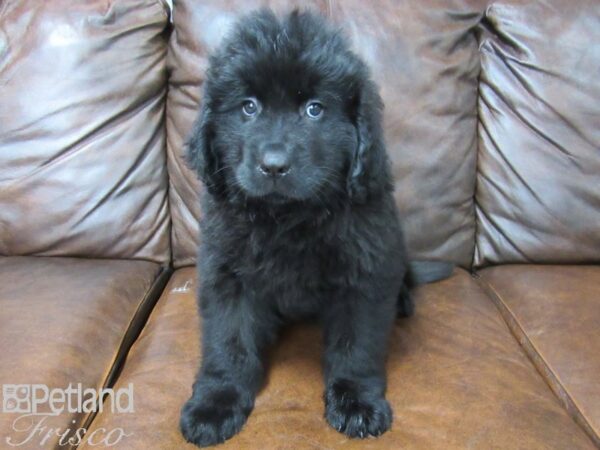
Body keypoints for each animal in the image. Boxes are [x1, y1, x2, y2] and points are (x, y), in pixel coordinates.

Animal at [180, 7, 452, 446]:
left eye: (314, 109)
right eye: (248, 107)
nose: (274, 165)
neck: (289, 217)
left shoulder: (365, 273)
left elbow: (356, 345)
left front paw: (356, 402)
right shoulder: (226, 275)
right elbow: (228, 340)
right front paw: (216, 404)